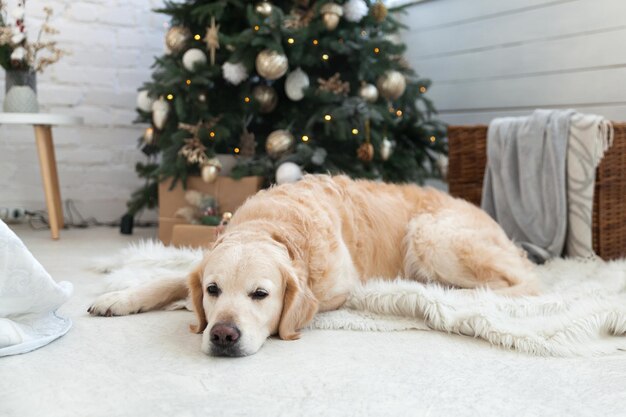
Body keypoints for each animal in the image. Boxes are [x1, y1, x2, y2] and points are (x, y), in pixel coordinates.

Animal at [89, 174, 536, 356]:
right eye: (213, 290)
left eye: (260, 294)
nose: (222, 335)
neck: (276, 225)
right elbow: (171, 279)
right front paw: (118, 297)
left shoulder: (337, 290)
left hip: (429, 235)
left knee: (522, 284)